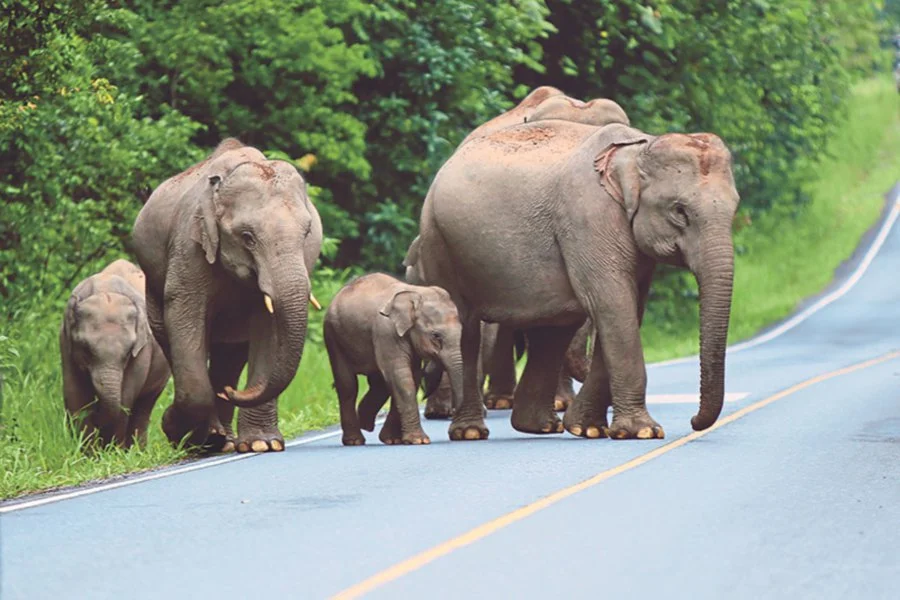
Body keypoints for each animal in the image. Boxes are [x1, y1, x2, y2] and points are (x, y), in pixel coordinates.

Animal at [61, 258, 172, 450]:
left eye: (128, 352)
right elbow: (76, 396)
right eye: (86, 348)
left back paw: (136, 450)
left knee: (144, 406)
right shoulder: (65, 342)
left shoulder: (143, 349)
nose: (97, 413)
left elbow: (125, 399)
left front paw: (113, 452)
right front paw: (89, 454)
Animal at [130, 138, 320, 452]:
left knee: (229, 356)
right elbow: (184, 314)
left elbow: (268, 327)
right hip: (152, 292)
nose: (233, 392)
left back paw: (225, 438)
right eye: (247, 237)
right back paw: (211, 438)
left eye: (307, 234)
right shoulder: (189, 246)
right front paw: (178, 432)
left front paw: (262, 445)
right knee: (173, 341)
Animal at [324, 272, 464, 446]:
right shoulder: (386, 332)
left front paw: (394, 440)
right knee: (348, 385)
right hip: (333, 336)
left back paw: (366, 424)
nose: (452, 413)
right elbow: (401, 377)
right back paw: (355, 440)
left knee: (379, 384)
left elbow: (411, 377)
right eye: (436, 335)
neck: (415, 293)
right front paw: (419, 440)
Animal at [412, 115, 740, 440]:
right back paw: (470, 432)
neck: (638, 149)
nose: (693, 421)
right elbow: (613, 304)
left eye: (735, 208)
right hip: (438, 242)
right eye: (679, 211)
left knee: (552, 332)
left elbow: (629, 309)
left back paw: (540, 426)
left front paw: (588, 429)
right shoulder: (588, 219)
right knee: (467, 328)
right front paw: (643, 432)